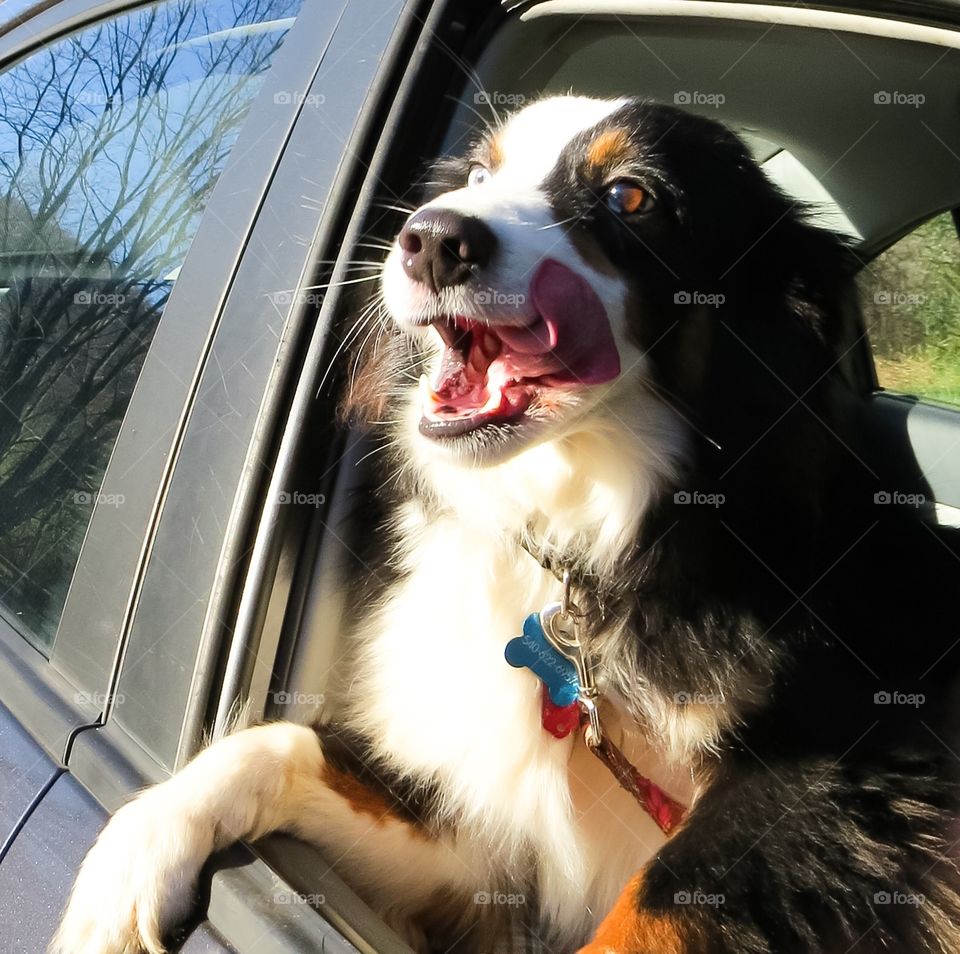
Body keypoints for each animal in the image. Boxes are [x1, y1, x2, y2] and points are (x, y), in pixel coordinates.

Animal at [50, 98, 960, 952]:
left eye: (631, 196)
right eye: (479, 174)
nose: (429, 239)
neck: (590, 535)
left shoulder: (833, 777)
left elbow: (655, 911)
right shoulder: (481, 838)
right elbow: (283, 746)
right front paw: (125, 863)